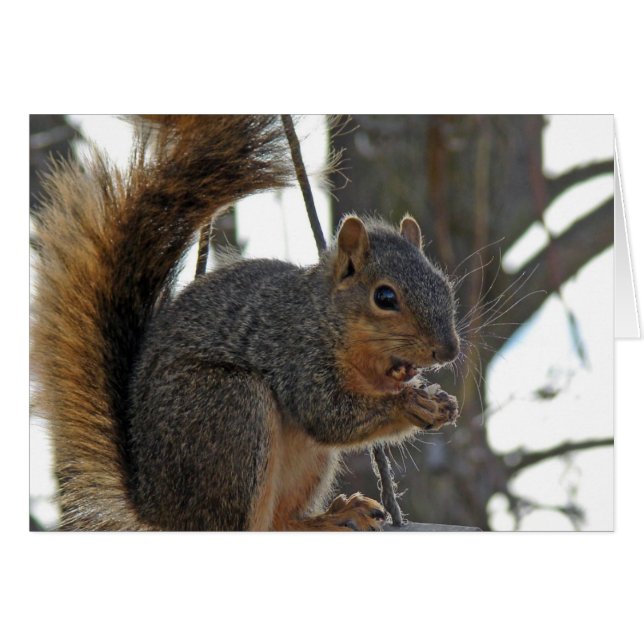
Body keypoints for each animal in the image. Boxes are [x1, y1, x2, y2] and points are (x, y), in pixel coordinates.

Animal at [31, 115, 460, 531]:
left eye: (443, 284)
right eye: (385, 297)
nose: (448, 350)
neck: (327, 318)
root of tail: (156, 508)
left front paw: (437, 400)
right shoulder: (298, 354)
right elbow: (328, 414)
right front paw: (410, 402)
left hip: (306, 462)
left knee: (280, 522)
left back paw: (336, 516)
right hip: (232, 413)